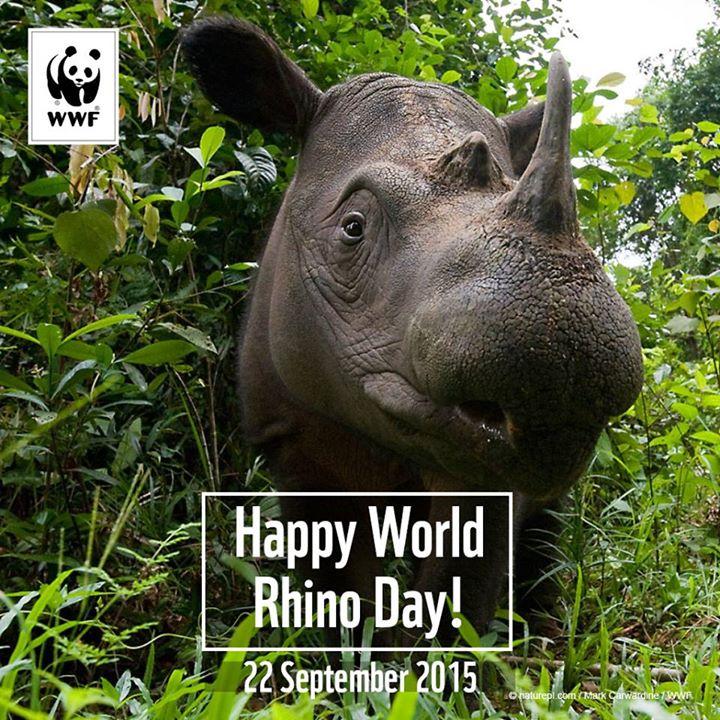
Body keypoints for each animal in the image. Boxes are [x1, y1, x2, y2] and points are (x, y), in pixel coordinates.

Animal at [182, 17, 643, 645]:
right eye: (352, 228)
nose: (568, 354)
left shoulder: (478, 461)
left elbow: (458, 594)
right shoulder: (290, 431)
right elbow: (336, 580)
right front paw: (345, 652)